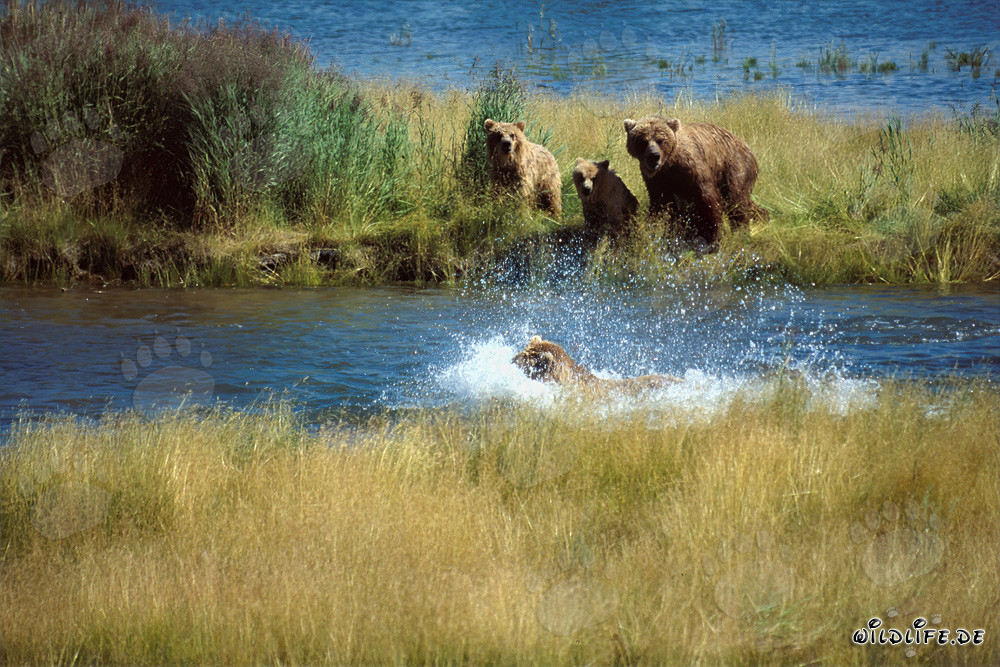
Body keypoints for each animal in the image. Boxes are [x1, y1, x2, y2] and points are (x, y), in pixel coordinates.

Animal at [623, 116, 768, 248]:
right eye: (642, 141)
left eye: (660, 140)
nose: (654, 156)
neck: (669, 163)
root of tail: (745, 145)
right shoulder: (657, 178)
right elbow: (662, 202)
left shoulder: (692, 167)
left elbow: (707, 197)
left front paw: (711, 235)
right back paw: (762, 216)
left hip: (734, 164)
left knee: (735, 197)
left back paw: (742, 229)